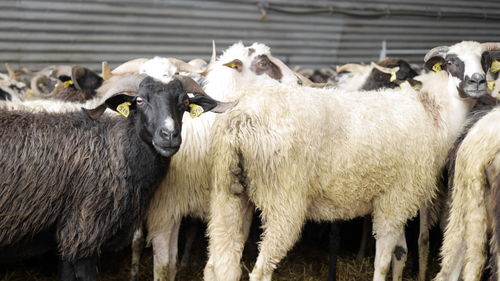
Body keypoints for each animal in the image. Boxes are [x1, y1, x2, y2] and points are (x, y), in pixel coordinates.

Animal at [0, 72, 230, 280]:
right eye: (139, 100)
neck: (116, 149)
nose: (170, 135)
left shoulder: (67, 236)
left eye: (184, 101)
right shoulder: (83, 232)